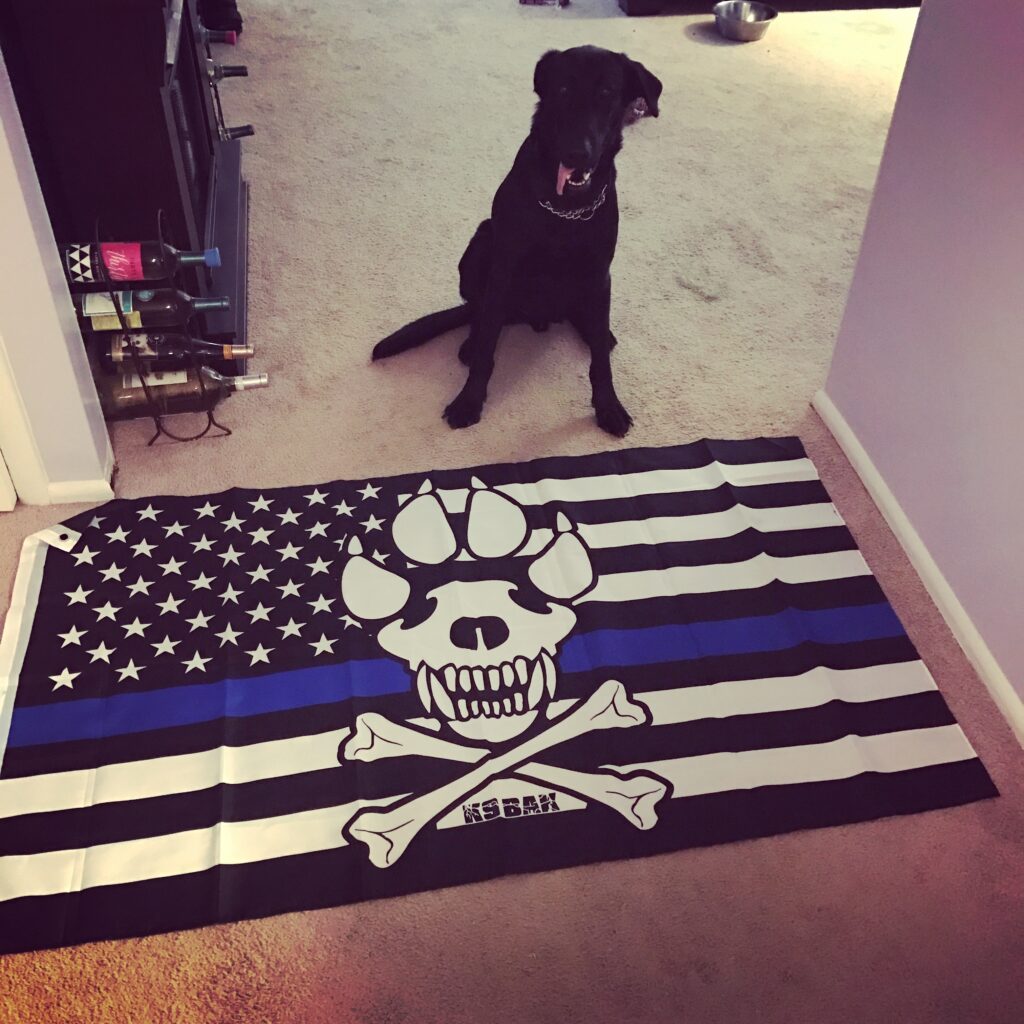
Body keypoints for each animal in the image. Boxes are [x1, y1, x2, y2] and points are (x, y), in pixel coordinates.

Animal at [371, 45, 662, 437]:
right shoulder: (503, 268)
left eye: (607, 93)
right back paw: (470, 341)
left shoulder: (601, 273)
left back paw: (594, 329)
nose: (577, 153)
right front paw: (469, 401)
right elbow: (486, 352)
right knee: (480, 313)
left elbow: (601, 361)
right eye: (563, 91)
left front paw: (608, 406)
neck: (564, 207)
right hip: (481, 244)